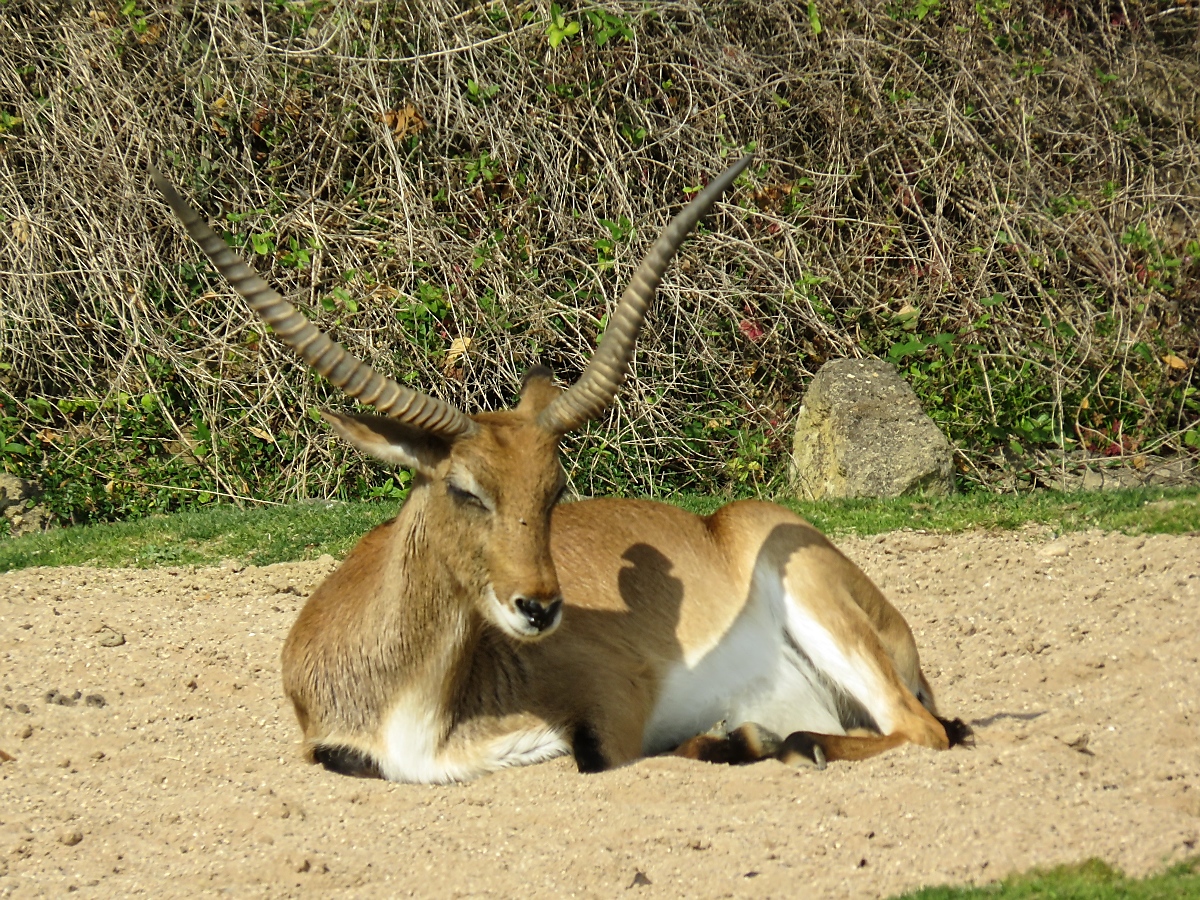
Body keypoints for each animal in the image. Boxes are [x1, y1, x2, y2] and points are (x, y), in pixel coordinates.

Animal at [152, 154, 974, 782]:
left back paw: (788, 744)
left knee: (922, 728)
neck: (412, 705)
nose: (540, 608)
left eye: (555, 490)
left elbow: (600, 757)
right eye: (464, 488)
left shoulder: (614, 708)